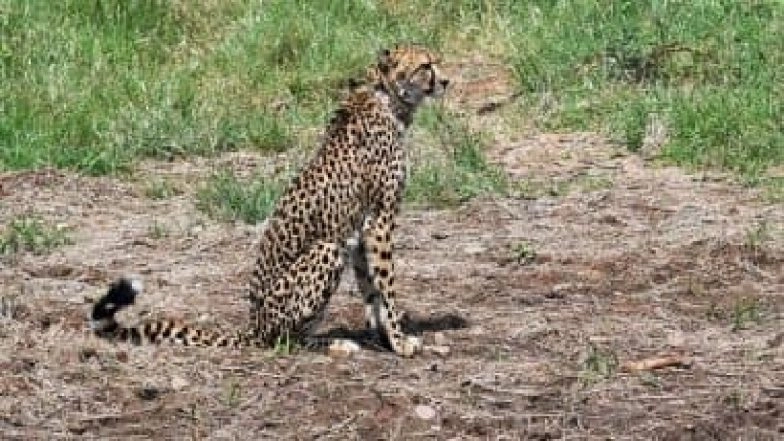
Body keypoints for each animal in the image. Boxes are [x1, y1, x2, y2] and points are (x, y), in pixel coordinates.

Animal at [89, 44, 450, 357]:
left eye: (436, 61)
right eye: (425, 65)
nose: (446, 81)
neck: (387, 98)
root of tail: (253, 326)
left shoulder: (362, 229)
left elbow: (371, 289)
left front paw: (383, 337)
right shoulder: (380, 221)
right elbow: (387, 287)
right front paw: (400, 342)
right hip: (326, 249)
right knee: (285, 339)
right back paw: (333, 344)